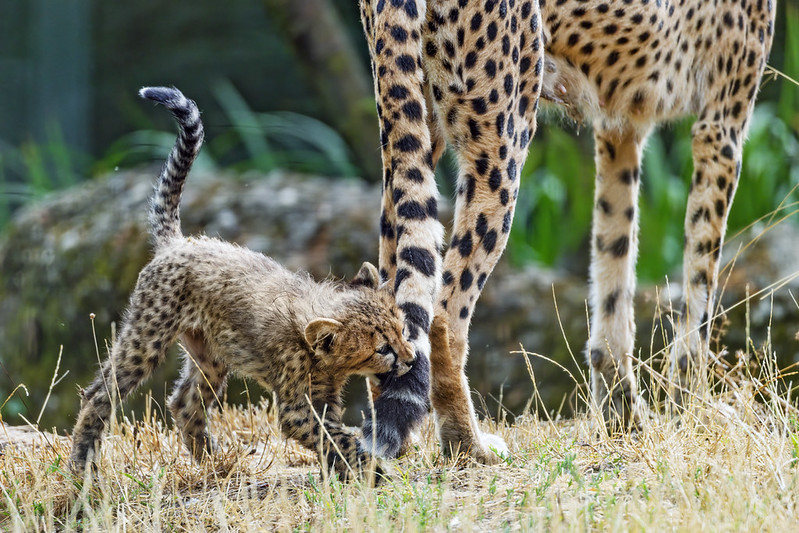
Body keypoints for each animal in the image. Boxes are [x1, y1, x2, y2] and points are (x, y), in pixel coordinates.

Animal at [68, 86, 416, 480]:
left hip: (210, 353)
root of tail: (180, 242)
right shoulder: (298, 408)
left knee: (184, 402)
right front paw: (372, 471)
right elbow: (336, 438)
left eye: (402, 331)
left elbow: (334, 436)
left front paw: (344, 474)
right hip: (147, 337)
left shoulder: (323, 398)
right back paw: (82, 466)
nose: (411, 359)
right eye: (382, 349)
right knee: (101, 392)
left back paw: (213, 464)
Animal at [357, 0, 776, 464]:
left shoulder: (621, 128)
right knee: (445, 312)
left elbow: (614, 266)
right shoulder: (721, 127)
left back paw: (397, 443)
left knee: (391, 278)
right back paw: (468, 444)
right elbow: (700, 292)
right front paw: (694, 410)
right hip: (505, 130)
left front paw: (624, 420)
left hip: (412, 120)